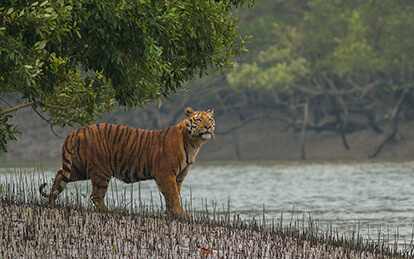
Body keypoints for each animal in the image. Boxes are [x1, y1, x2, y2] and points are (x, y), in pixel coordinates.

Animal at [39, 106, 215, 218]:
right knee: (95, 196)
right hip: (101, 170)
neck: (194, 143)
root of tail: (76, 131)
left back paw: (52, 202)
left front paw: (172, 214)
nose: (207, 127)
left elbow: (173, 195)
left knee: (60, 174)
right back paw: (110, 211)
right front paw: (179, 214)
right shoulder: (166, 174)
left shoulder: (178, 176)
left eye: (210, 119)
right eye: (198, 119)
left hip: (81, 169)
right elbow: (173, 195)